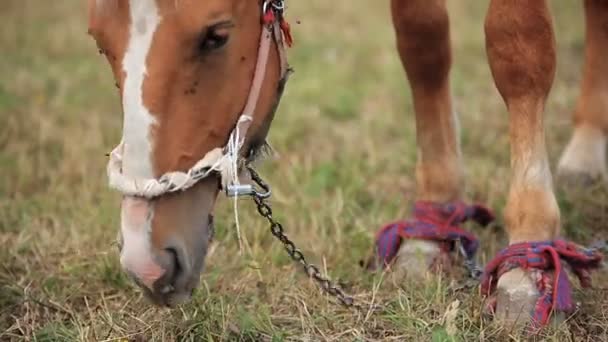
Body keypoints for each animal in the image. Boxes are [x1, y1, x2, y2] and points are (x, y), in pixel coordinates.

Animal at [88, 0, 604, 326]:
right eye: (98, 40)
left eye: (215, 36)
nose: (145, 261)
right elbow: (421, 37)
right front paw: (434, 219)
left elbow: (518, 47)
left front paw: (528, 252)